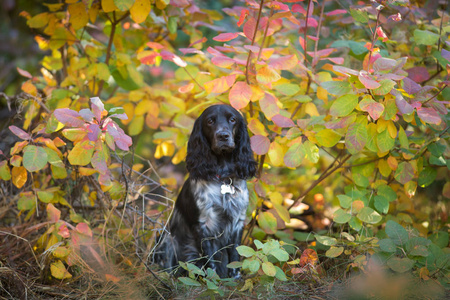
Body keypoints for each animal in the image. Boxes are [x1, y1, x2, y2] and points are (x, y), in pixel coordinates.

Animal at [155, 104, 255, 278]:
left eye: (232, 119)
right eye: (210, 121)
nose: (223, 136)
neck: (223, 177)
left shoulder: (238, 221)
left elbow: (235, 255)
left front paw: (235, 277)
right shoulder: (203, 225)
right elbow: (210, 259)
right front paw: (213, 279)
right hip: (168, 241)